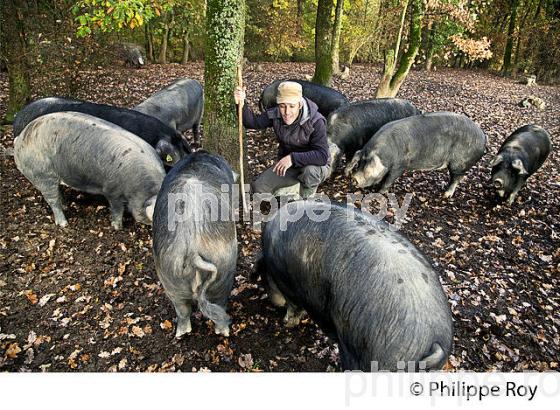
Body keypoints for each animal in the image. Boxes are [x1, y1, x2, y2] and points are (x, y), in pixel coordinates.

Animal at [14, 112, 165, 229]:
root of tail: (19, 140)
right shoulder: (111, 190)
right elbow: (117, 209)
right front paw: (117, 227)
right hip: (42, 174)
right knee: (52, 199)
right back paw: (64, 224)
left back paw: (66, 206)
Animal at [153, 152, 238, 338]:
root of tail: (192, 249)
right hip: (225, 267)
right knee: (219, 303)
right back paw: (224, 331)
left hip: (169, 274)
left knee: (182, 310)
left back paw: (181, 333)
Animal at [256, 201, 452, 372]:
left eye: (264, 279)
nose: (273, 302)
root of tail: (434, 340)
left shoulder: (289, 287)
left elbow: (294, 308)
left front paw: (287, 323)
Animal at [346, 110, 486, 197]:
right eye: (359, 162)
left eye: (369, 165)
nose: (354, 178)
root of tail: (483, 136)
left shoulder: (400, 165)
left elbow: (389, 180)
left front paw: (380, 192)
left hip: (459, 163)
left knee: (457, 178)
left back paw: (445, 195)